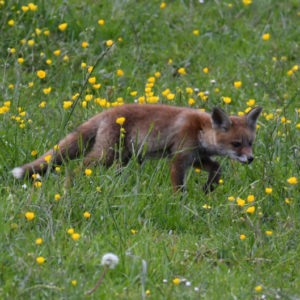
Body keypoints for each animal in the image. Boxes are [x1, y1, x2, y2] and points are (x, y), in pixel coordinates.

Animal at [11, 103, 262, 192]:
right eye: (236, 144)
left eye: (250, 143)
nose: (251, 159)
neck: (200, 130)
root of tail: (105, 112)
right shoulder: (179, 159)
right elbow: (178, 187)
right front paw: (180, 204)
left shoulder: (197, 157)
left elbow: (217, 167)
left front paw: (208, 189)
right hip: (105, 155)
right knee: (75, 169)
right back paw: (69, 189)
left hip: (121, 159)